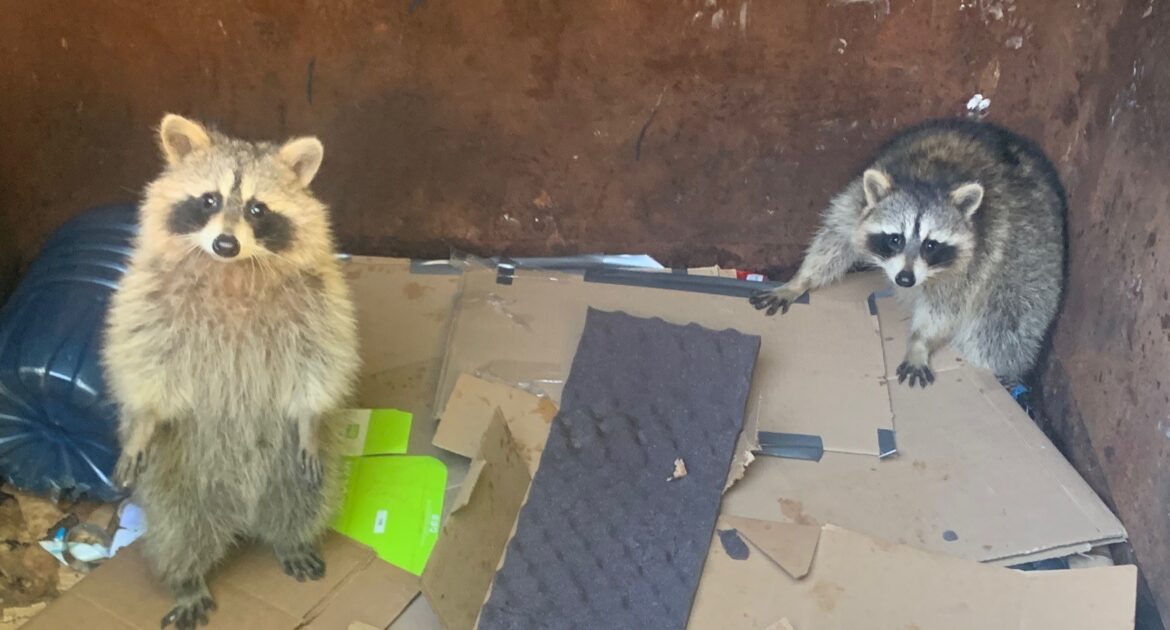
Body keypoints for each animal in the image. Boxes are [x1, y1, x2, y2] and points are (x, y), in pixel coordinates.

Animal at [101, 114, 360, 628]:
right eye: (209, 201)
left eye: (258, 209)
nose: (225, 243)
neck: (233, 268)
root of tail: (242, 513)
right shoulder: (148, 294)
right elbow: (147, 359)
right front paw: (143, 422)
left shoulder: (319, 299)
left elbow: (320, 361)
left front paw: (310, 417)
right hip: (177, 471)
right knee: (178, 528)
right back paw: (186, 579)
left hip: (290, 469)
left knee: (302, 500)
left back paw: (291, 538)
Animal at [750, 119, 1066, 387]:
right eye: (895, 239)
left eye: (931, 245)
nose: (905, 280)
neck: (929, 178)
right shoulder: (856, 203)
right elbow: (835, 240)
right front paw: (800, 280)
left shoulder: (979, 253)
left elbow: (945, 305)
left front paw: (919, 341)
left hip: (1027, 262)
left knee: (1000, 332)